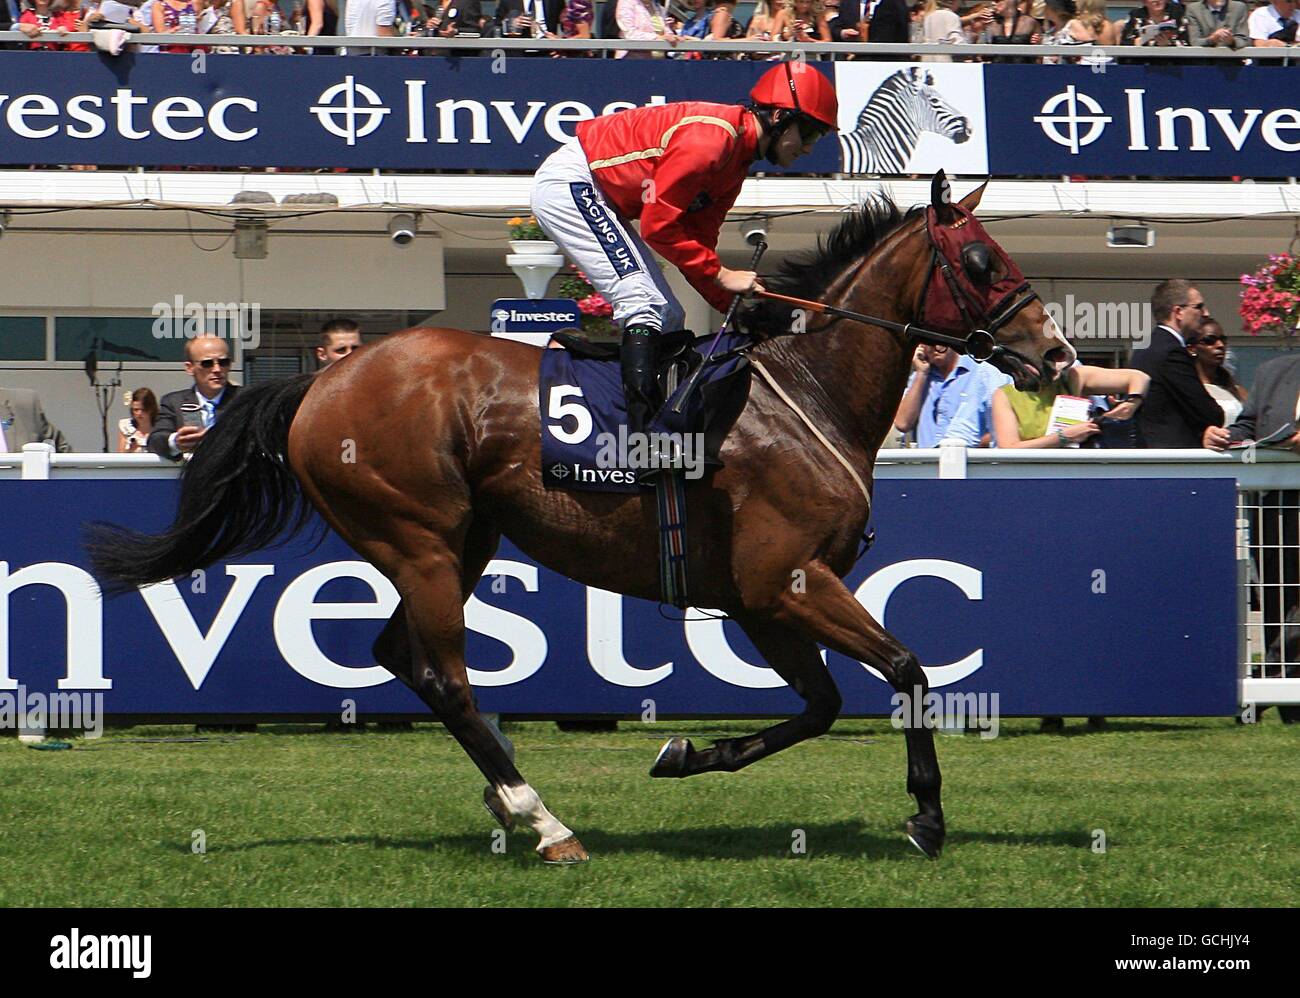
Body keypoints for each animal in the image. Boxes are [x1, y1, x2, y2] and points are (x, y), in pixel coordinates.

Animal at [86, 179, 1071, 862]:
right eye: (981, 264)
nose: (1057, 355)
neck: (802, 392)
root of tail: (320, 380)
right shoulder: (788, 580)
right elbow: (907, 670)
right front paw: (928, 819)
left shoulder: (760, 598)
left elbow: (823, 705)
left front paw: (686, 753)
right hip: (419, 537)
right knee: (443, 674)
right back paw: (542, 819)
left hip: (464, 541)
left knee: (400, 653)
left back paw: (509, 800)